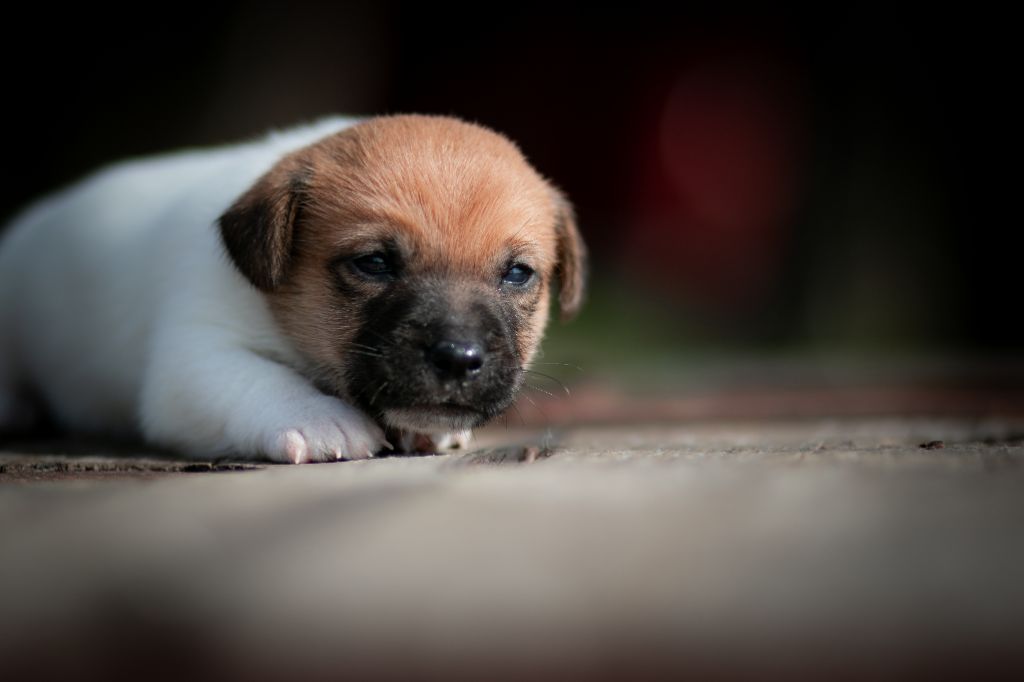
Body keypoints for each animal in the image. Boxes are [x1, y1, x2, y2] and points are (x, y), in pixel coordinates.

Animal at [0, 115, 589, 462]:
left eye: (518, 273)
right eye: (374, 263)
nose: (458, 359)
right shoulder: (193, 359)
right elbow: (260, 378)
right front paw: (319, 419)